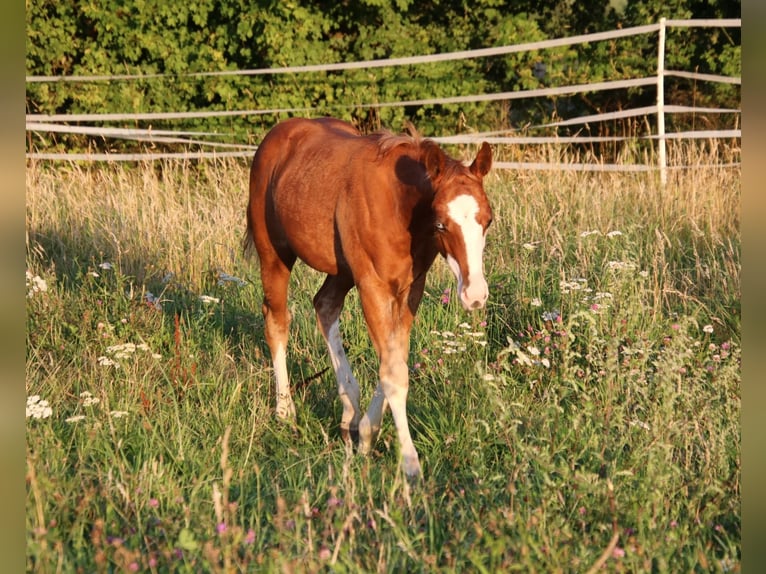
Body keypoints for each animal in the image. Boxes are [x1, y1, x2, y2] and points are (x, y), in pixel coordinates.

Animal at [243, 117, 493, 479]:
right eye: (441, 225)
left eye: (488, 220)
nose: (474, 295)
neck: (399, 207)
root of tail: (279, 135)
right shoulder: (372, 286)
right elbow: (394, 374)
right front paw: (410, 464)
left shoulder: (409, 289)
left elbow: (394, 358)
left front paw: (366, 434)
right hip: (275, 256)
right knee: (276, 321)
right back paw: (285, 412)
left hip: (342, 269)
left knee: (325, 305)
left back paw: (349, 411)